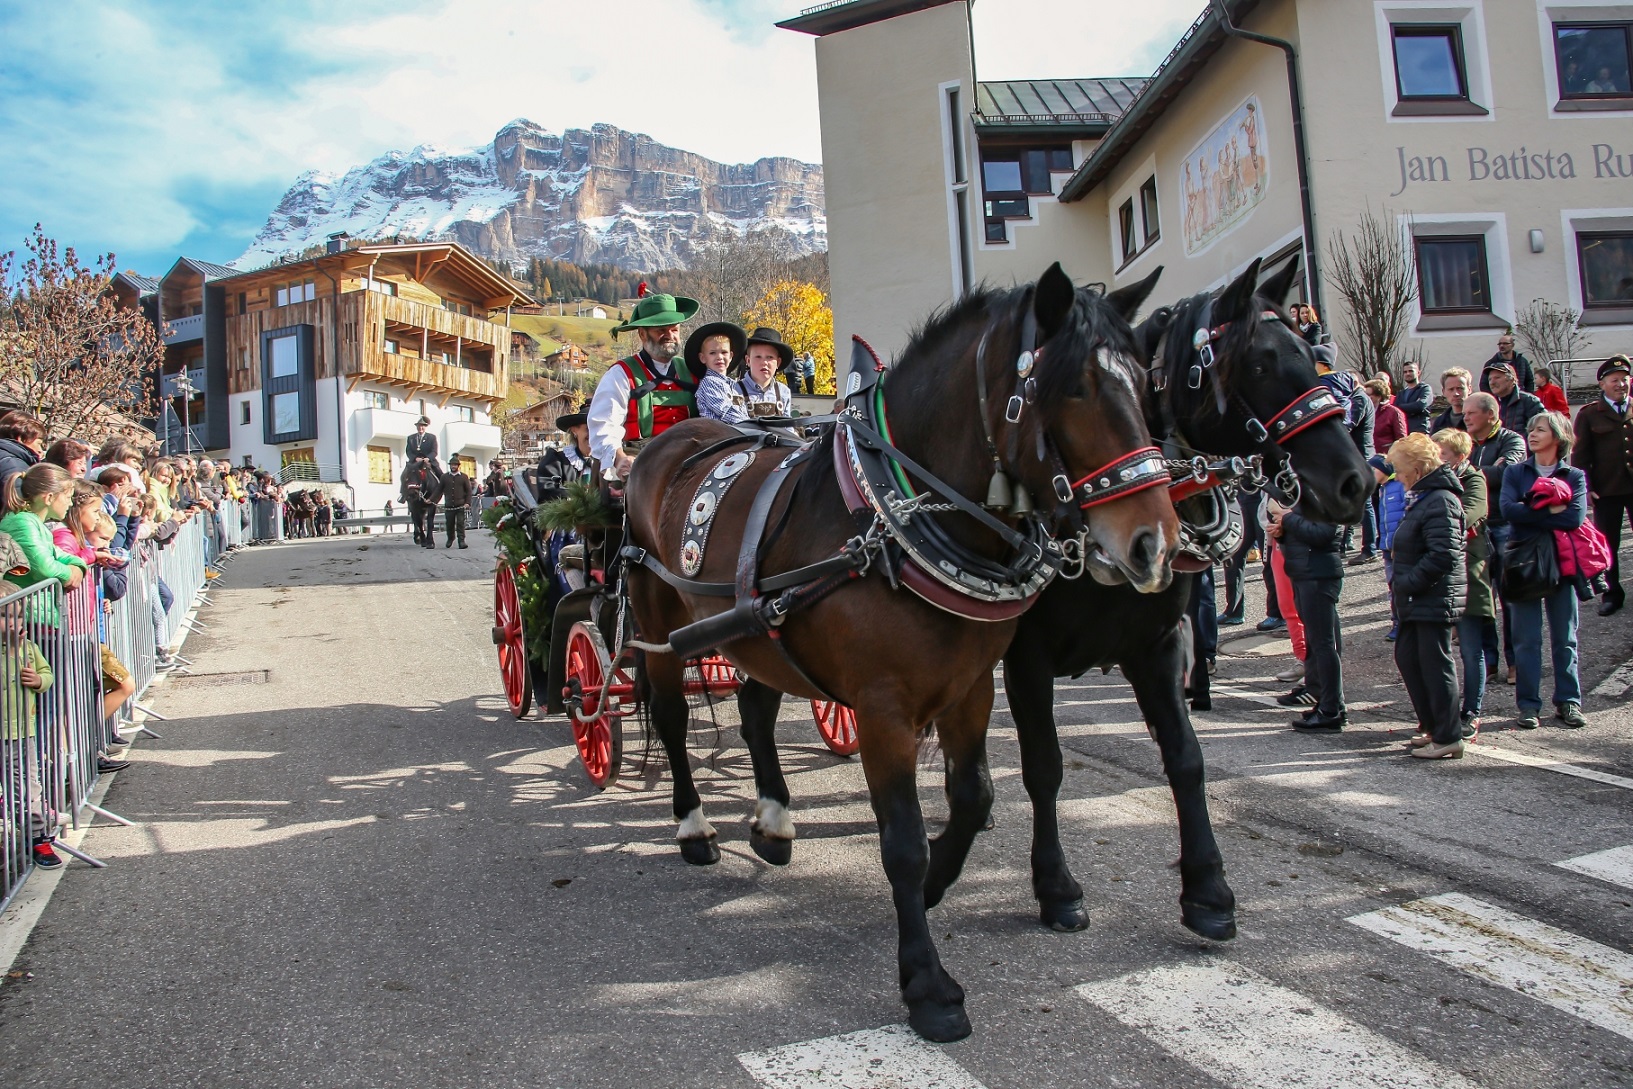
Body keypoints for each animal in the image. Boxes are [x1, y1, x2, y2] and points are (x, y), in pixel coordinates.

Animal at [620, 261, 1175, 1038]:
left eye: (1145, 381)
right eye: (1073, 388)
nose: (1154, 544)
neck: (895, 513)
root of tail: (669, 446)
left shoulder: (972, 686)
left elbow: (972, 798)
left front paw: (943, 880)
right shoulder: (883, 710)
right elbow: (902, 841)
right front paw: (926, 982)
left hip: (752, 626)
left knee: (756, 714)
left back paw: (773, 820)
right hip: (659, 619)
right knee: (671, 721)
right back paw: (694, 825)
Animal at [979, 256, 1378, 940]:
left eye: (1311, 353)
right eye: (1260, 363)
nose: (1355, 482)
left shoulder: (1158, 645)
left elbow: (1186, 757)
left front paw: (1209, 890)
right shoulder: (1028, 659)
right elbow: (1044, 766)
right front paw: (1055, 886)